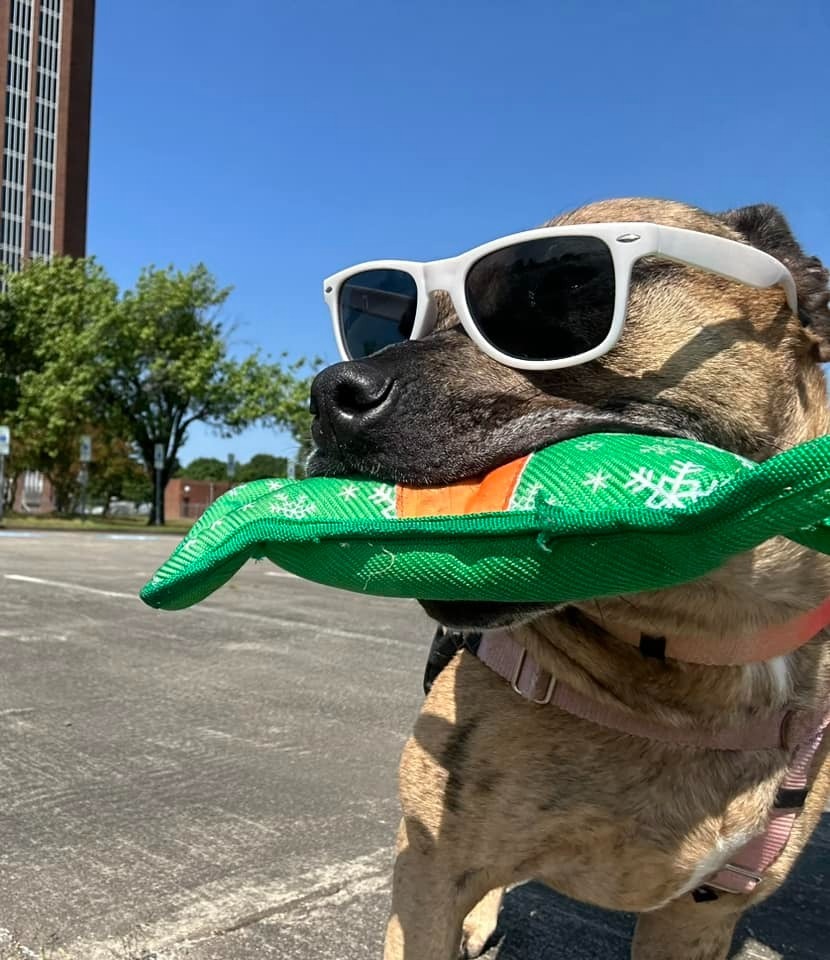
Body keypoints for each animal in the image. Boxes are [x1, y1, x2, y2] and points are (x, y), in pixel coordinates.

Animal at [306, 197, 830, 960]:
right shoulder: (430, 869)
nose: (329, 392)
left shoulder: (700, 917)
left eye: (553, 289)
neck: (687, 656)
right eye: (399, 324)